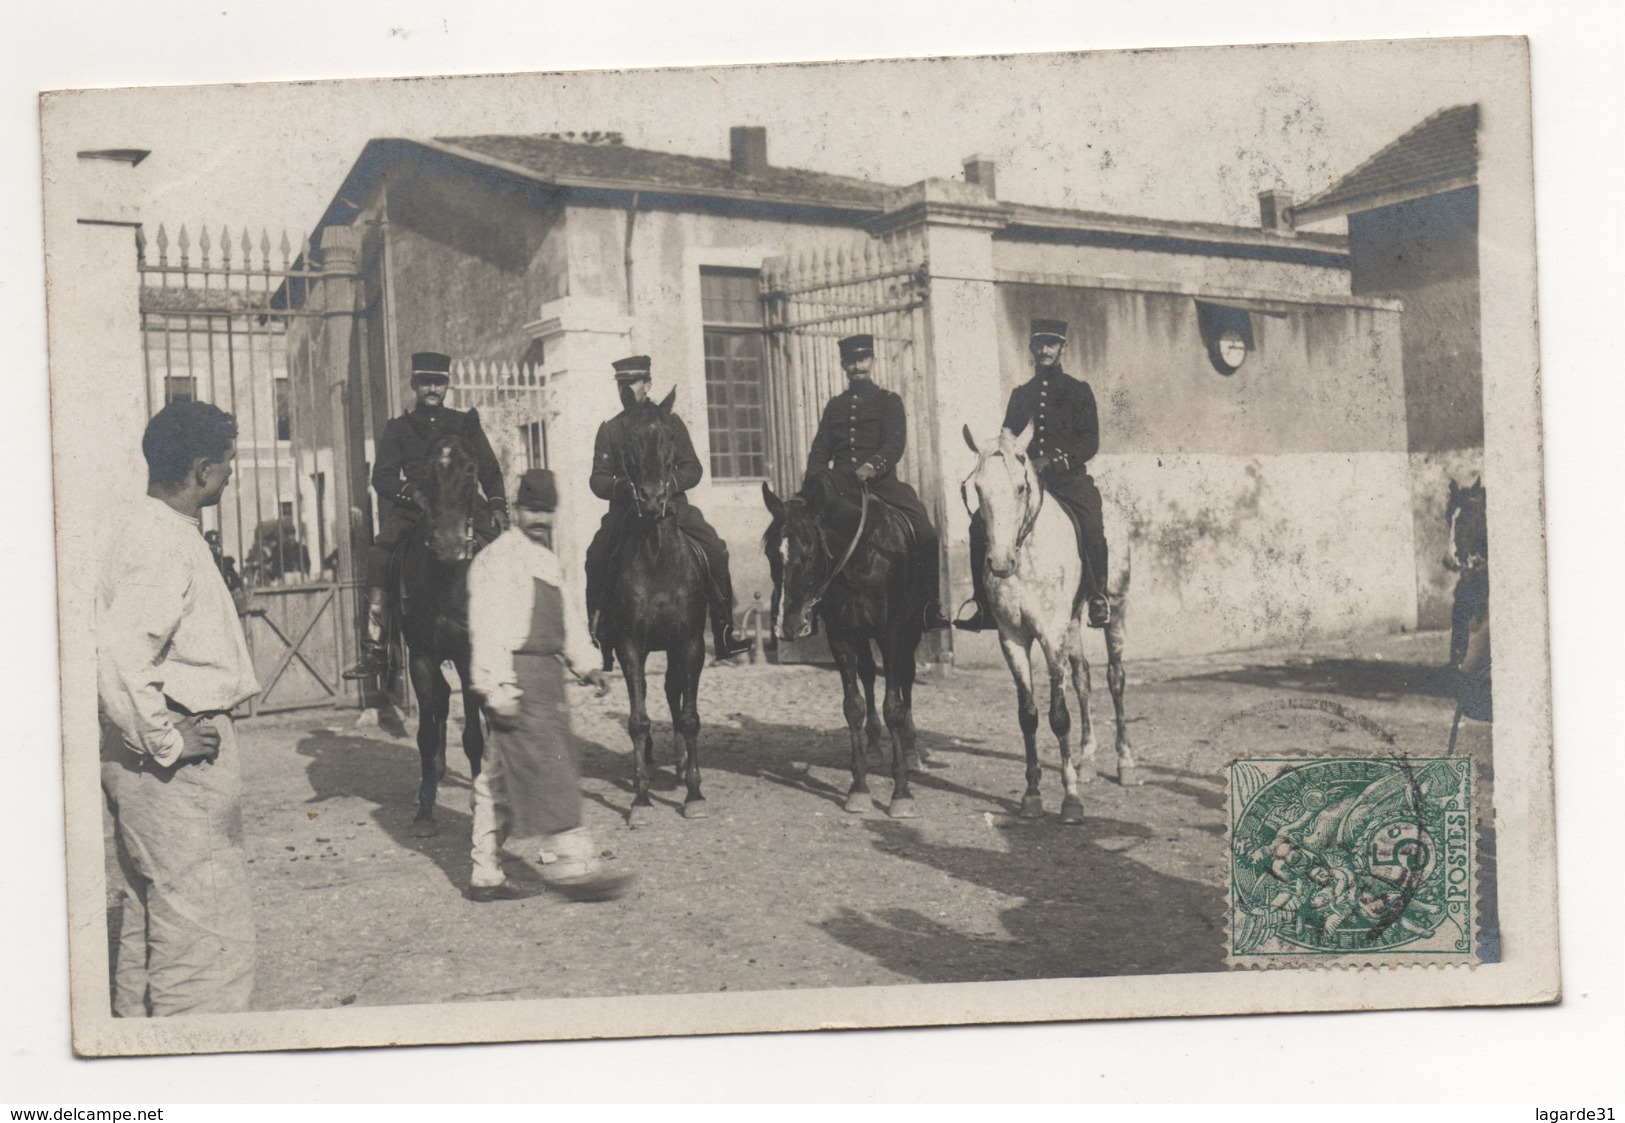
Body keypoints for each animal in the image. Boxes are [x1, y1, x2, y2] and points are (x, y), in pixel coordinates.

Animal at [760, 464, 929, 815]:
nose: (788, 625)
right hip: (862, 636)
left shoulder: (893, 634)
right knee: (867, 674)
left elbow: (894, 706)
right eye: (770, 555)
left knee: (906, 679)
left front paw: (901, 793)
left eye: (809, 554)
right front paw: (859, 788)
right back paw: (875, 745)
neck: (863, 558)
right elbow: (853, 706)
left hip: (910, 630)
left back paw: (909, 750)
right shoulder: (842, 637)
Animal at [955, 422, 1137, 825]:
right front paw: (1032, 795)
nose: (1000, 563)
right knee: (1084, 679)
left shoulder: (1051, 636)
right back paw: (1087, 762)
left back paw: (1125, 763)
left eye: (1021, 487)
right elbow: (1029, 716)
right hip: (1071, 623)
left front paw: (1070, 800)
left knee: (1115, 679)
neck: (1026, 552)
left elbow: (1058, 716)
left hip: (1115, 608)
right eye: (979, 488)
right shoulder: (1012, 638)